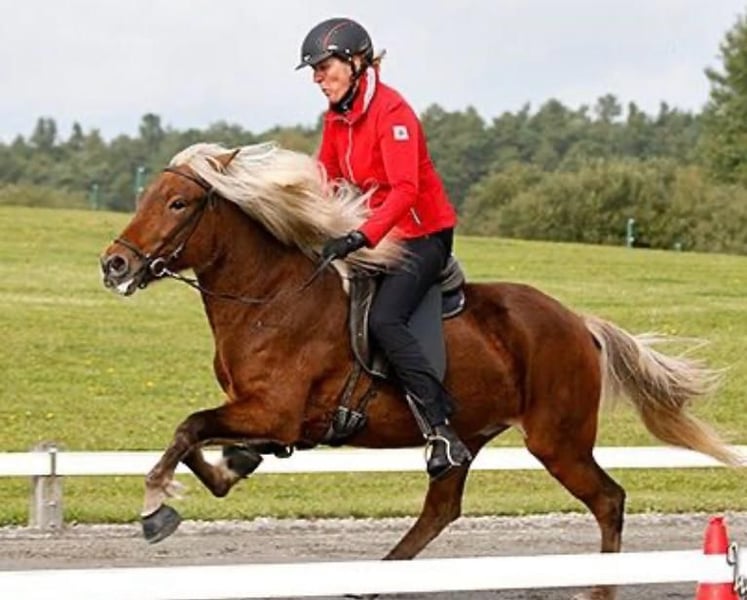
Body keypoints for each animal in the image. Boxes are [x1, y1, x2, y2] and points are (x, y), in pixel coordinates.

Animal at [100, 142, 740, 600]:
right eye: (147, 196)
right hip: (468, 436)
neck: (271, 297)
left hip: (558, 441)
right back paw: (377, 580)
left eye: (178, 204)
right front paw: (223, 472)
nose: (115, 265)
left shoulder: (274, 414)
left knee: (608, 500)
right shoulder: (269, 422)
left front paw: (156, 506)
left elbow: (189, 426)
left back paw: (598, 590)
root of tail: (578, 323)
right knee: (441, 510)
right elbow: (204, 446)